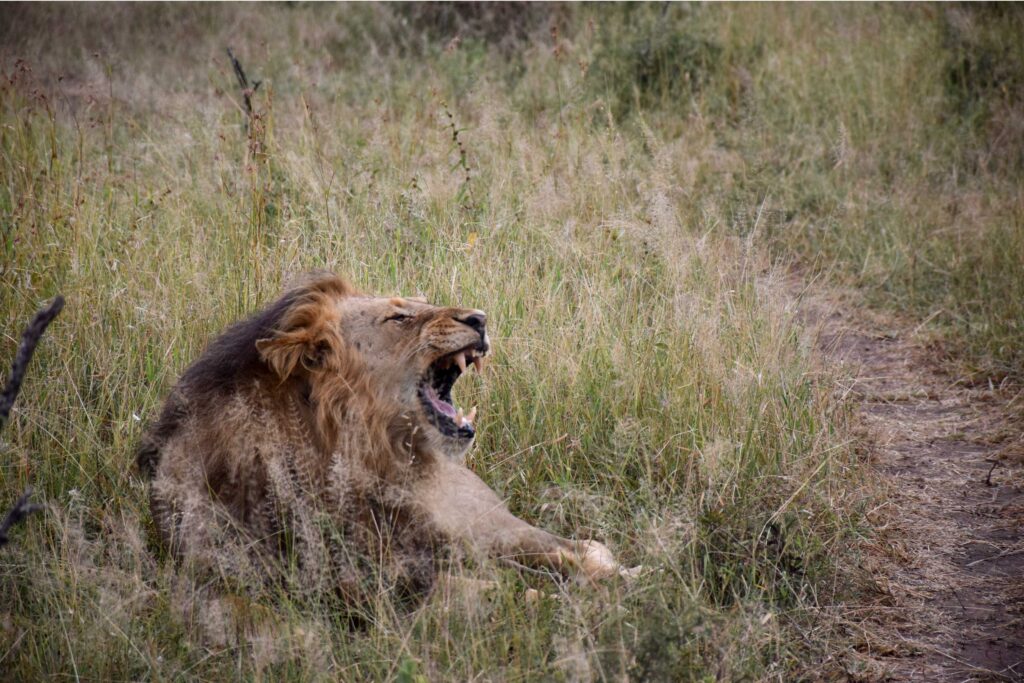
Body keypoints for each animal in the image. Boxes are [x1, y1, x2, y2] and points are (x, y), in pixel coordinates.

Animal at [138, 272, 622, 602]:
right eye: (399, 316)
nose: (480, 319)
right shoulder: (348, 585)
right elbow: (492, 594)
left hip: (481, 523)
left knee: (585, 549)